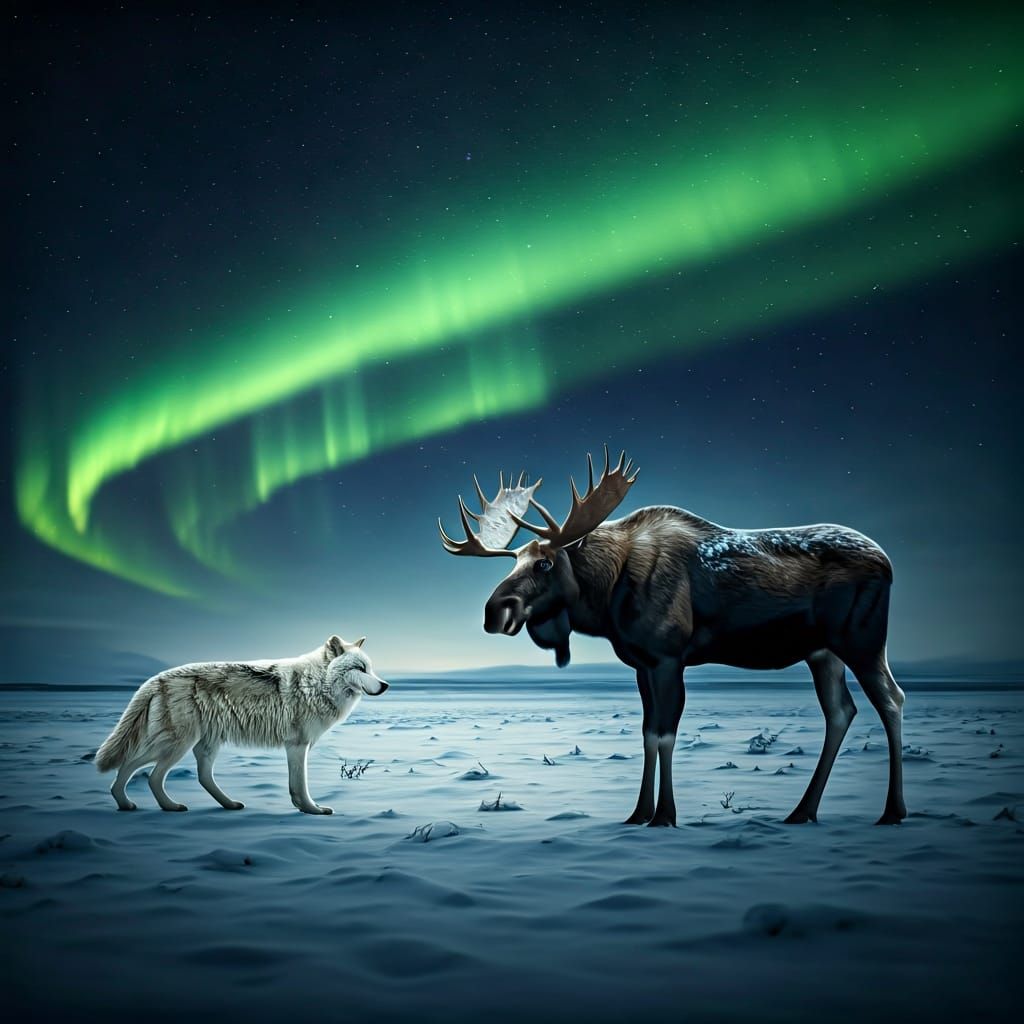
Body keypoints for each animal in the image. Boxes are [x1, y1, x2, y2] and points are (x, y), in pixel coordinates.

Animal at [95, 634, 389, 814]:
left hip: (201, 745)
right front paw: (312, 810)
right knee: (147, 772)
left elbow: (295, 786)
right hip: (176, 745)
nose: (385, 685)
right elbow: (300, 786)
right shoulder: (297, 745)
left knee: (196, 776)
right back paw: (166, 806)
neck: (315, 683)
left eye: (371, 668)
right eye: (360, 668)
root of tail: (156, 679)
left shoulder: (297, 746)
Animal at [439, 447, 906, 827]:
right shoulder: (642, 665)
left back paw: (892, 811)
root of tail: (888, 562)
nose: (494, 611)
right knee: (840, 711)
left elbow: (665, 734)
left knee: (890, 699)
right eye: (514, 561)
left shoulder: (668, 658)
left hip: (861, 641)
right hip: (822, 652)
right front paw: (638, 813)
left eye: (545, 564)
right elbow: (648, 733)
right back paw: (803, 811)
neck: (607, 594)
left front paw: (665, 815)